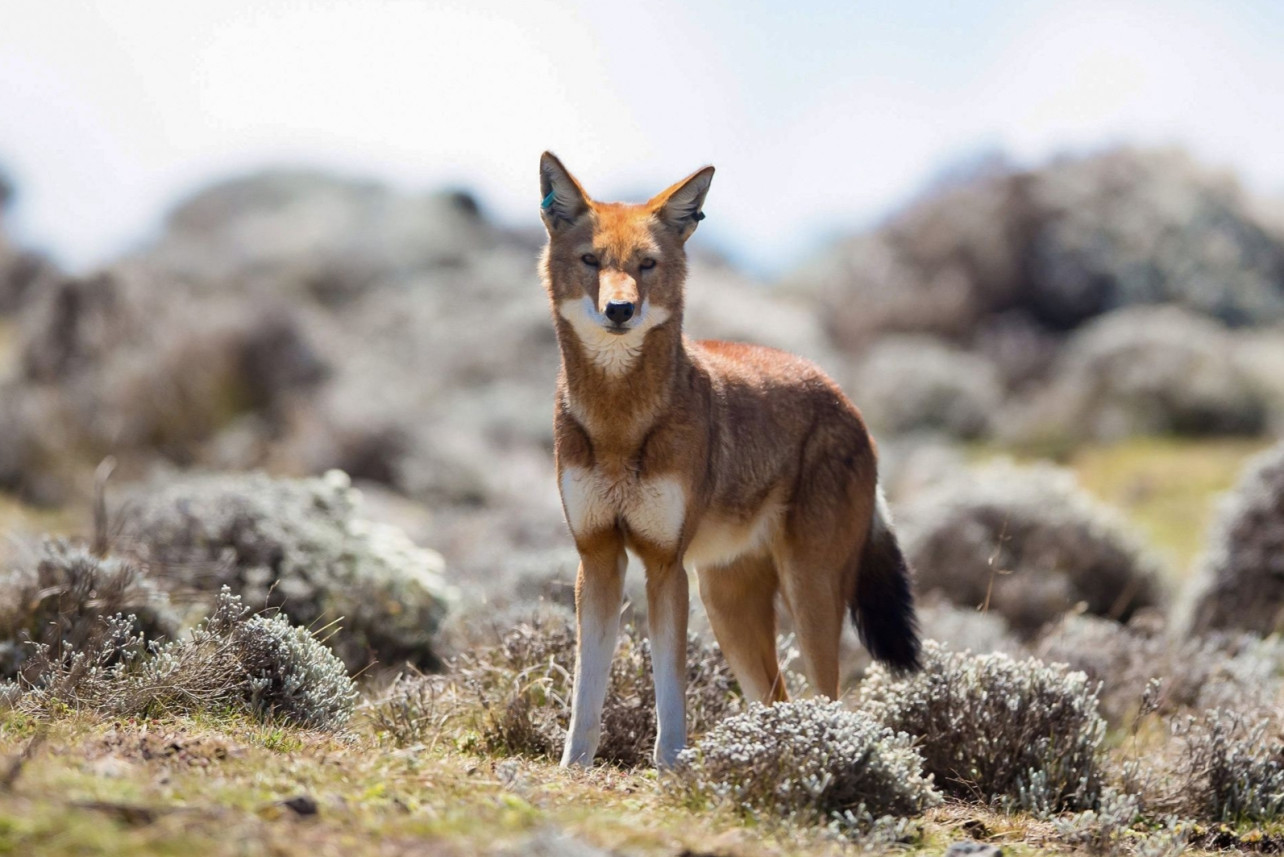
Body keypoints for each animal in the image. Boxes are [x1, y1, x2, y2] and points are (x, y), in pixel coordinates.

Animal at [536, 150, 919, 765]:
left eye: (646, 265)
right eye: (591, 261)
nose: (619, 309)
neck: (619, 423)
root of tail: (847, 402)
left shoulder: (665, 566)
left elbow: (670, 690)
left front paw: (671, 766)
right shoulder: (597, 559)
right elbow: (585, 692)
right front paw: (574, 767)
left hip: (808, 596)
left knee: (827, 700)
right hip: (728, 607)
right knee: (779, 699)